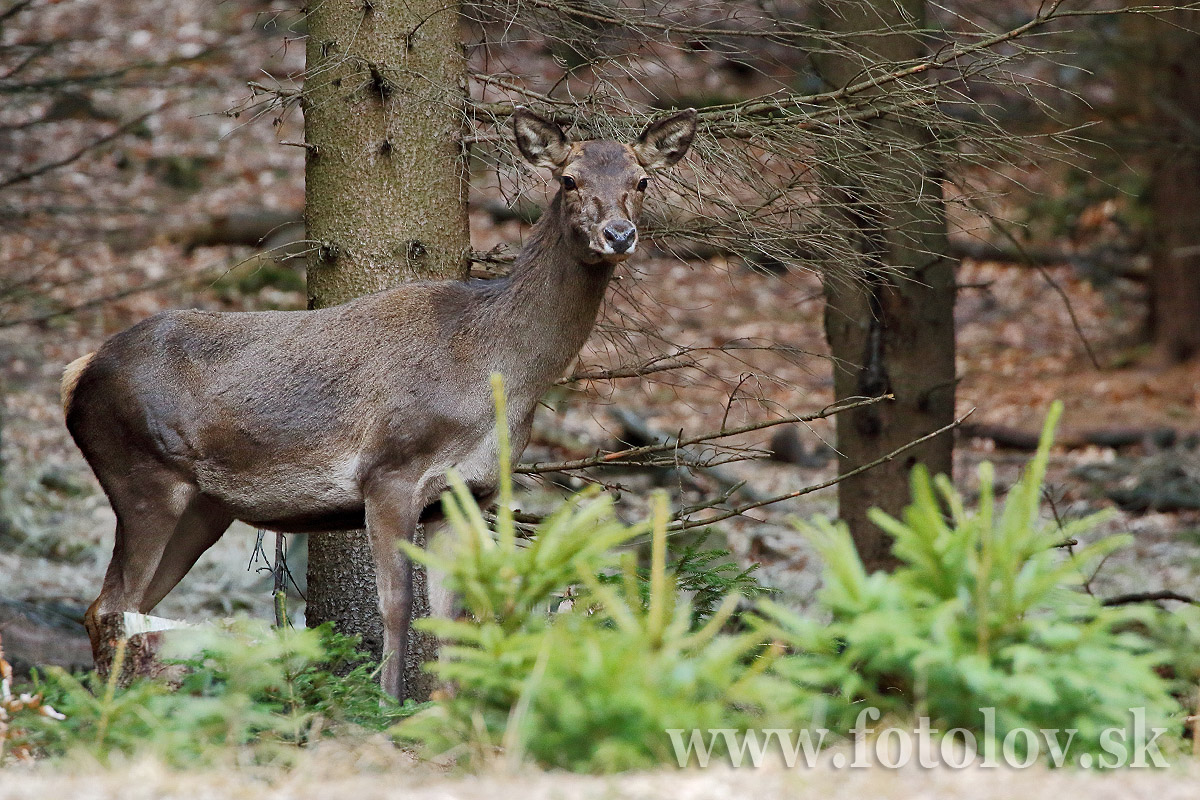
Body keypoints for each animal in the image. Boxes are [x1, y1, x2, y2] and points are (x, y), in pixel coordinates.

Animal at [60, 104, 700, 695]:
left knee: (120, 606)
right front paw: (389, 705)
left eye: (642, 179)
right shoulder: (388, 472)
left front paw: (444, 710)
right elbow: (397, 609)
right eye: (568, 179)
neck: (497, 373)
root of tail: (77, 371)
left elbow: (450, 614)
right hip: (142, 477)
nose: (619, 235)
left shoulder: (467, 493)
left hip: (203, 507)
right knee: (112, 606)